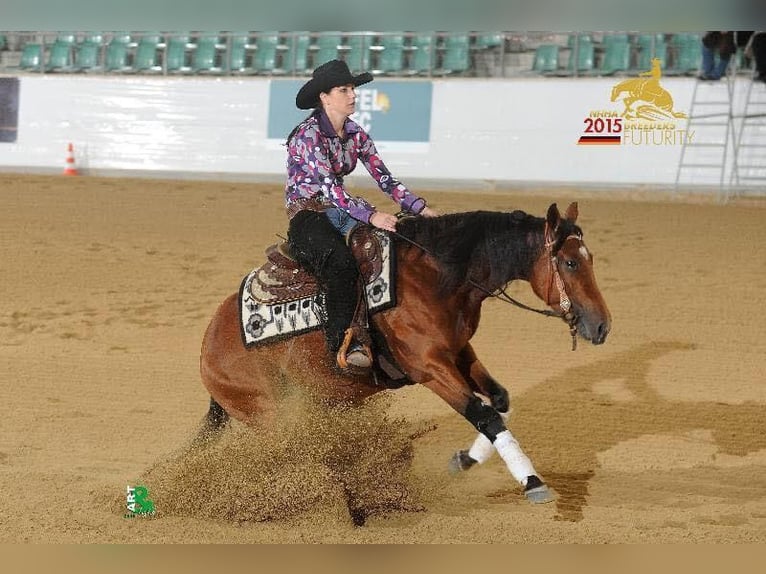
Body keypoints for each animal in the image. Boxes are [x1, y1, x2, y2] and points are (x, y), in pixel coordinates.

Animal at [197, 202, 612, 520]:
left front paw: (465, 460)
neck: (437, 277)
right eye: (570, 263)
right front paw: (533, 481)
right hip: (273, 417)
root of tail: (208, 348)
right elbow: (485, 415)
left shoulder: (459, 353)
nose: (602, 325)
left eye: (589, 259)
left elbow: (499, 401)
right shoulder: (429, 368)